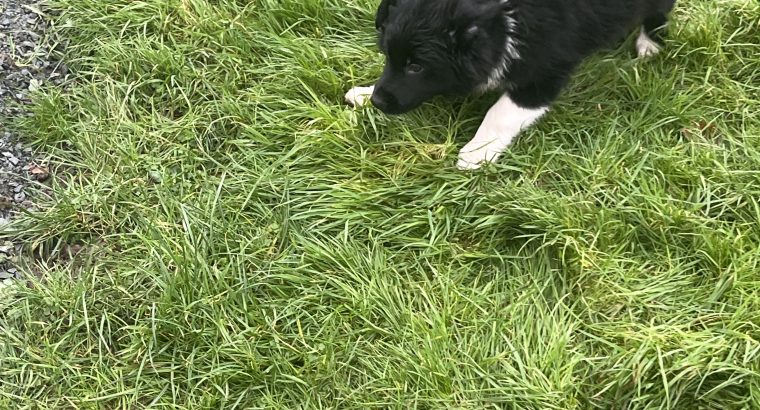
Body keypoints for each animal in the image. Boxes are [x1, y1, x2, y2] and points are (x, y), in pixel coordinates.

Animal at [348, 0, 672, 170]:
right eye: (387, 55)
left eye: (416, 67)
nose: (379, 102)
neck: (505, 25)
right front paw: (363, 93)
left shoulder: (545, 73)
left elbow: (500, 113)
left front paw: (476, 152)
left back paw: (649, 44)